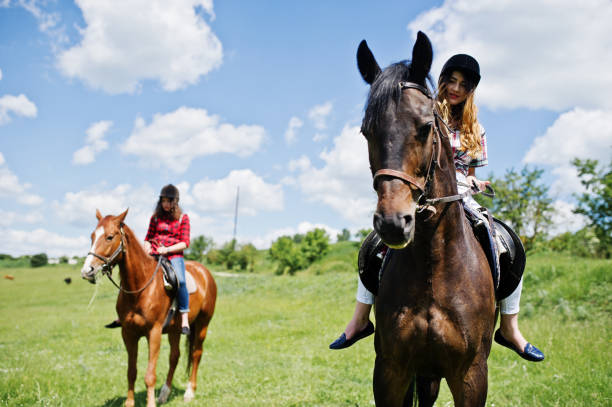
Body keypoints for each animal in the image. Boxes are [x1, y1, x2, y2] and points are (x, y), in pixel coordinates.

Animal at [80, 210, 216, 407]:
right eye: (92, 236)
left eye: (109, 237)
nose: (87, 271)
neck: (140, 287)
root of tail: (204, 272)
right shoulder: (128, 334)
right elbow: (131, 372)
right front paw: (129, 403)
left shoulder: (154, 333)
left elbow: (150, 375)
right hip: (175, 330)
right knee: (174, 356)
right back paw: (164, 394)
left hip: (203, 324)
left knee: (196, 354)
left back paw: (189, 392)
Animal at [358, 32, 498, 407]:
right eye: (366, 132)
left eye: (424, 128)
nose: (393, 222)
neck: (433, 265)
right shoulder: (391, 371)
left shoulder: (470, 374)